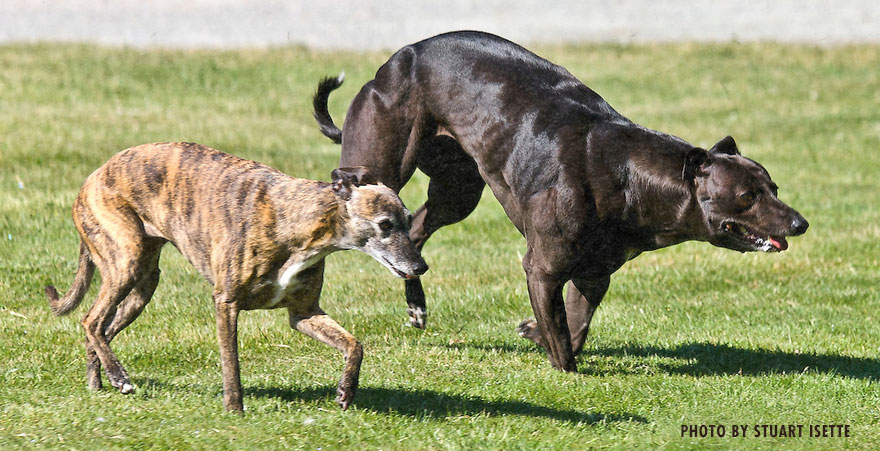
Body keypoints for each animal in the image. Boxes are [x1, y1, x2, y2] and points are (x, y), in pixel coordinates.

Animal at [312, 30, 808, 372]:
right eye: (746, 197)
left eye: (774, 188)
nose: (800, 224)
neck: (629, 175)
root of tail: (396, 60)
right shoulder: (543, 267)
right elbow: (563, 342)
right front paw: (562, 367)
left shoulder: (594, 272)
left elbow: (576, 323)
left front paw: (534, 331)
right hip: (383, 160)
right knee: (350, 181)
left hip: (459, 190)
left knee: (414, 230)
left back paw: (417, 304)